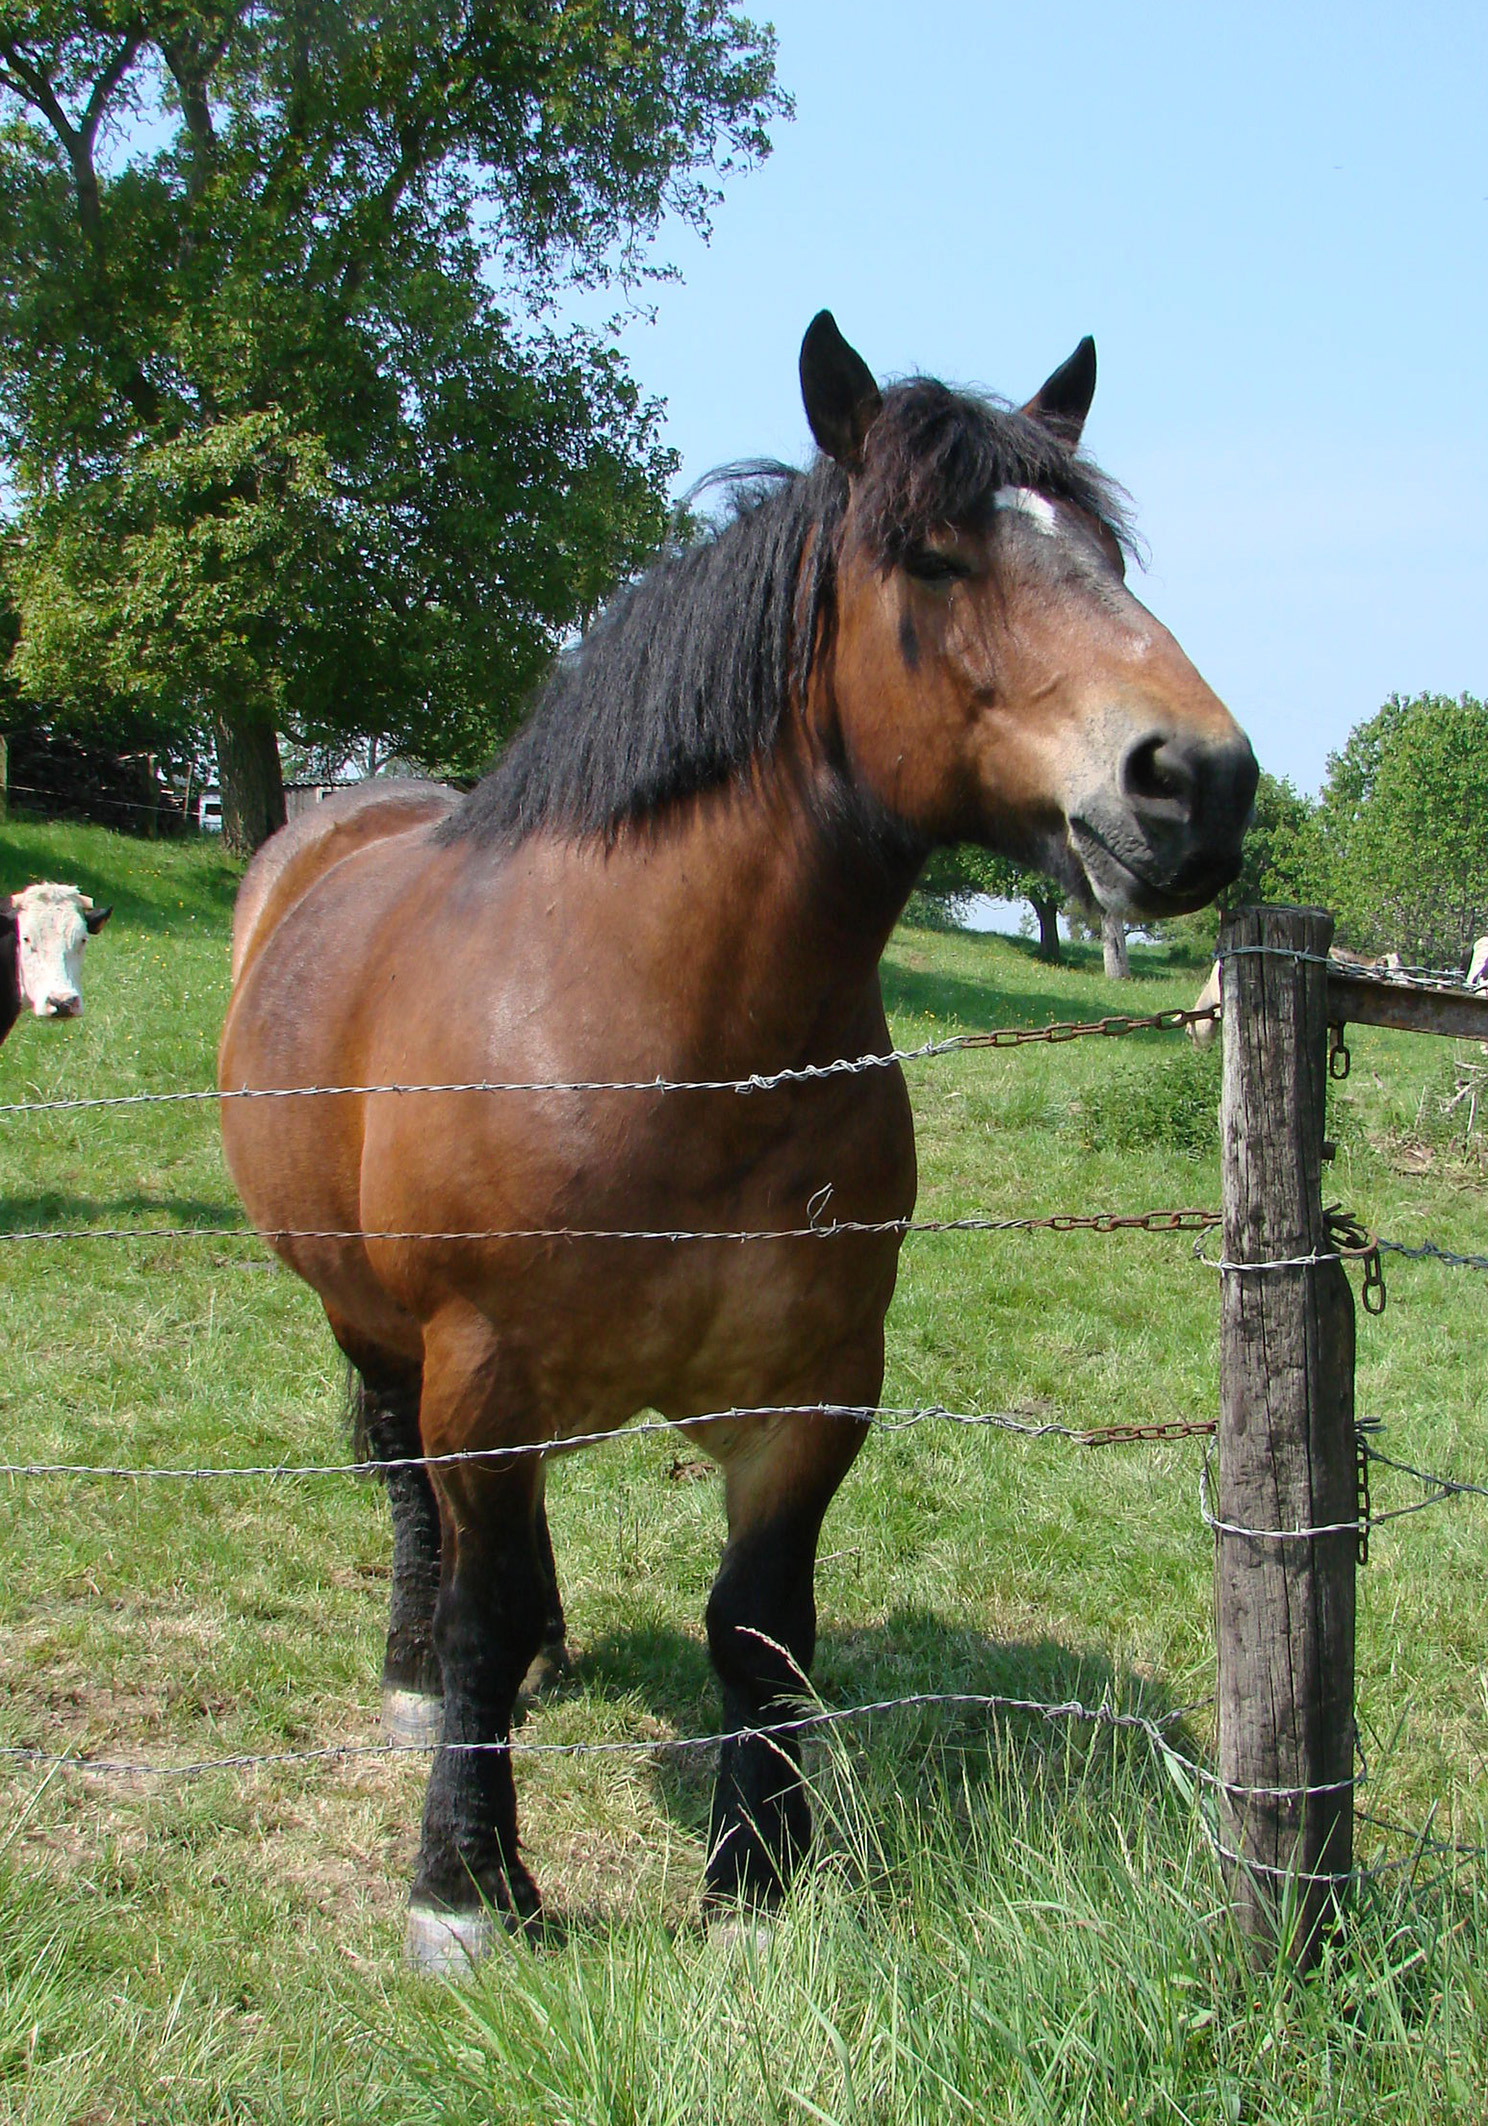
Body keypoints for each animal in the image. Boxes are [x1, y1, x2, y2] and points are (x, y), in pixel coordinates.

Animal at [221, 318, 1258, 1972]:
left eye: (1105, 551)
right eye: (933, 557)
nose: (1196, 781)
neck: (661, 1031)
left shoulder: (812, 1391)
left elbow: (758, 1625)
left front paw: (758, 1882)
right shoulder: (478, 1366)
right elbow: (477, 1612)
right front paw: (465, 1886)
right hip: (373, 1323)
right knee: (411, 1499)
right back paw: (414, 1680)